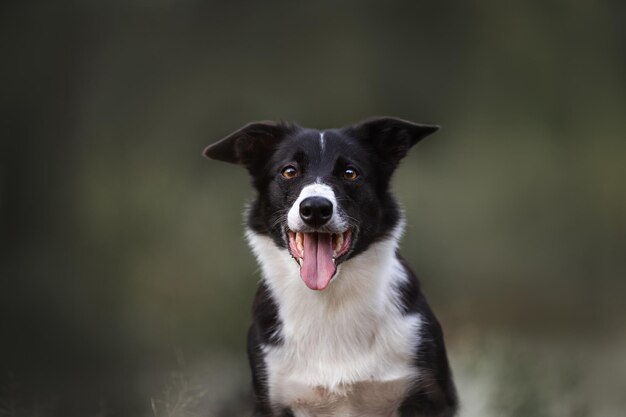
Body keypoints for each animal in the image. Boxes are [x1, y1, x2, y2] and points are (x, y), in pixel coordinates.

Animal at [204, 117, 454, 416]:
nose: (315, 209)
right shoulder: (272, 399)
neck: (329, 301)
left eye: (350, 173)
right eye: (289, 171)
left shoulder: (427, 394)